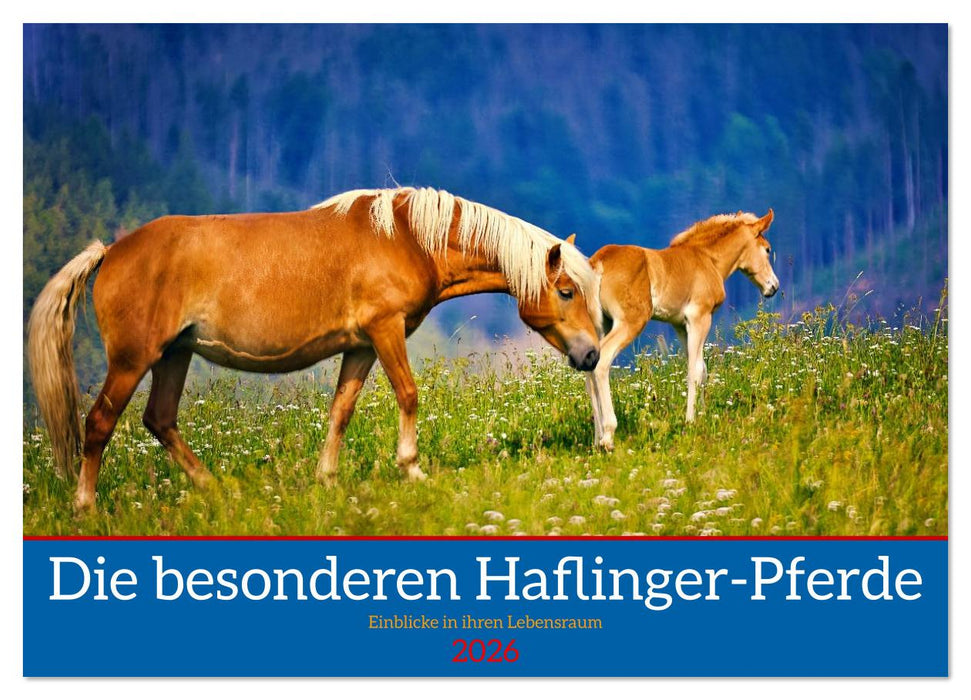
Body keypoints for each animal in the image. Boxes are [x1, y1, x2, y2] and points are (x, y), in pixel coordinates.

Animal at [27, 186, 603, 510]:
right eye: (566, 291)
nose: (592, 356)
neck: (407, 236)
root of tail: (111, 250)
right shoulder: (386, 331)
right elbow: (409, 395)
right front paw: (412, 469)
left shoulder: (362, 346)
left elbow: (341, 411)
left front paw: (326, 479)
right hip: (133, 360)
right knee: (100, 423)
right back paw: (85, 507)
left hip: (174, 354)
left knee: (160, 420)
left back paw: (217, 489)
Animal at [585, 209, 778, 451]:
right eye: (767, 249)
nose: (773, 286)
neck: (707, 259)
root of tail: (599, 262)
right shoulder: (699, 317)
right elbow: (694, 371)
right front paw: (691, 421)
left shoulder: (679, 324)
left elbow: (702, 368)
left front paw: (704, 415)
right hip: (630, 322)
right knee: (602, 360)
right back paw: (608, 436)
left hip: (601, 323)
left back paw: (596, 437)